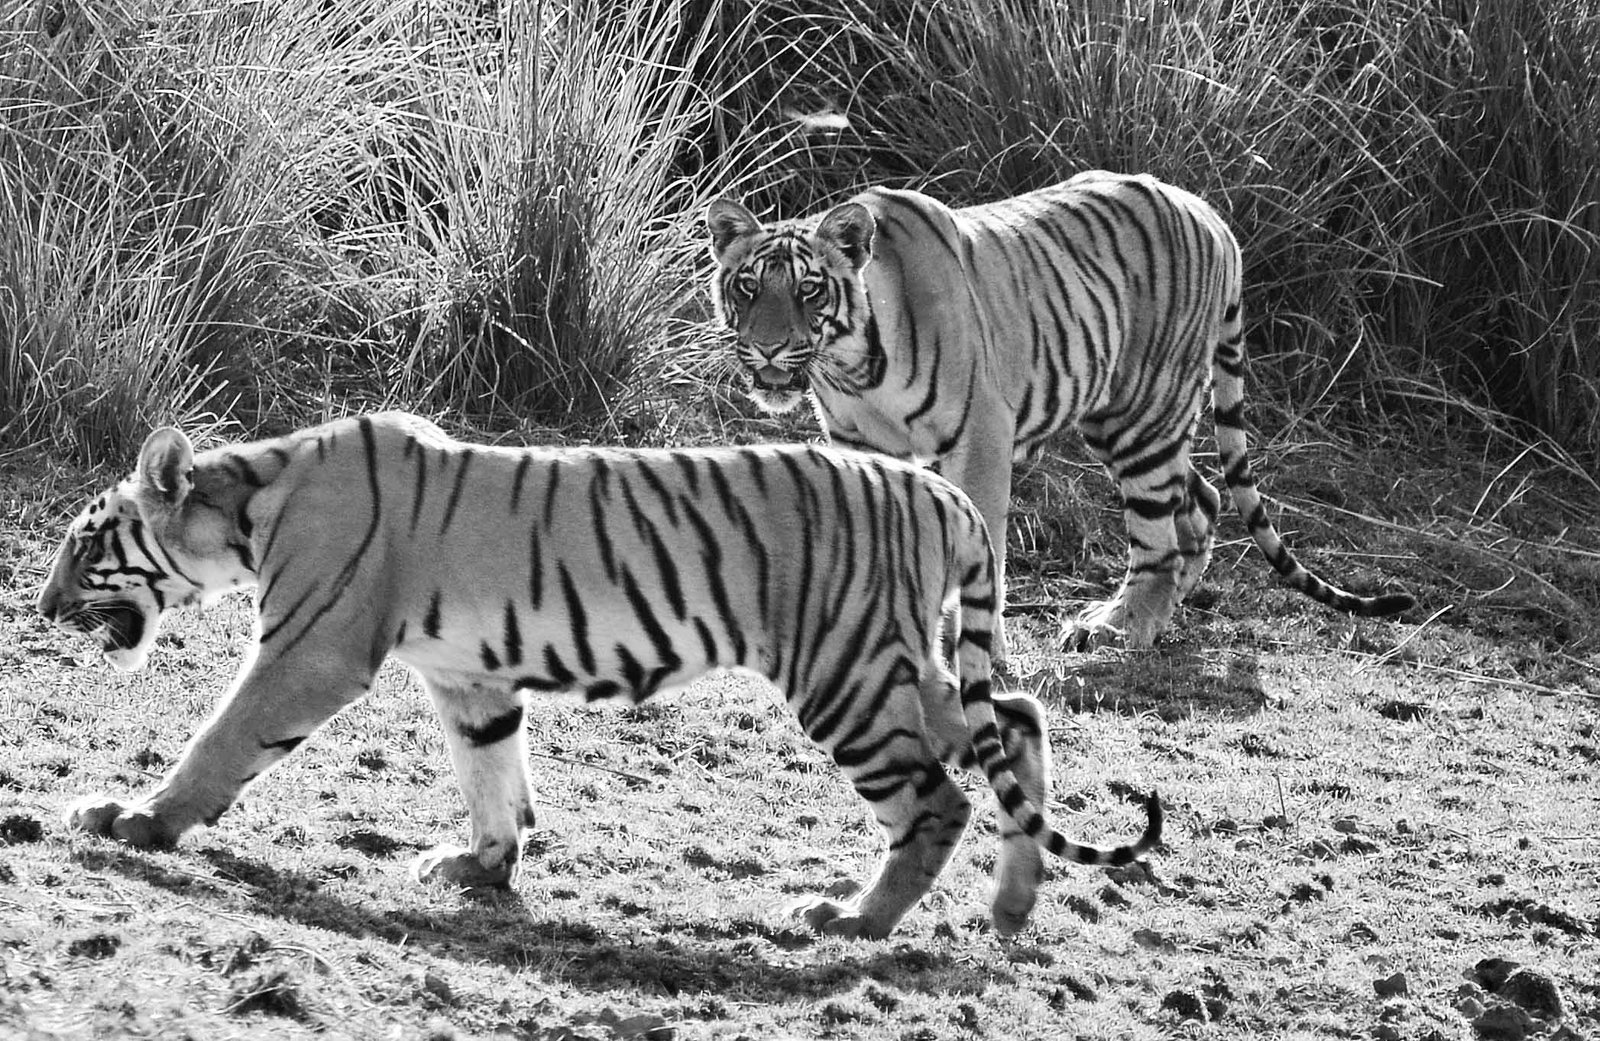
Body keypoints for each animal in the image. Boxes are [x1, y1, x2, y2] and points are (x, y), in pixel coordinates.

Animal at [40, 412, 1164, 940]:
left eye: (85, 543)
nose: (43, 609)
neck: (249, 506)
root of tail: (944, 494)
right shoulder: (468, 676)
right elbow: (493, 773)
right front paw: (480, 866)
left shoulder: (310, 649)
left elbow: (221, 737)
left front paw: (133, 818)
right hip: (898, 662)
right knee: (1014, 718)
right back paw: (1010, 907)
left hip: (844, 671)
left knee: (938, 796)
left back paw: (854, 919)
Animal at [704, 172, 1414, 658]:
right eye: (748, 287)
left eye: (808, 289)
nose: (767, 347)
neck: (851, 364)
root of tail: (1212, 214)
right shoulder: (859, 443)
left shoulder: (981, 440)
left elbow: (983, 549)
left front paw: (977, 647)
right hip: (1123, 417)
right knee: (1203, 500)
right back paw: (1165, 608)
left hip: (1144, 413)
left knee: (1158, 531)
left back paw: (1122, 627)